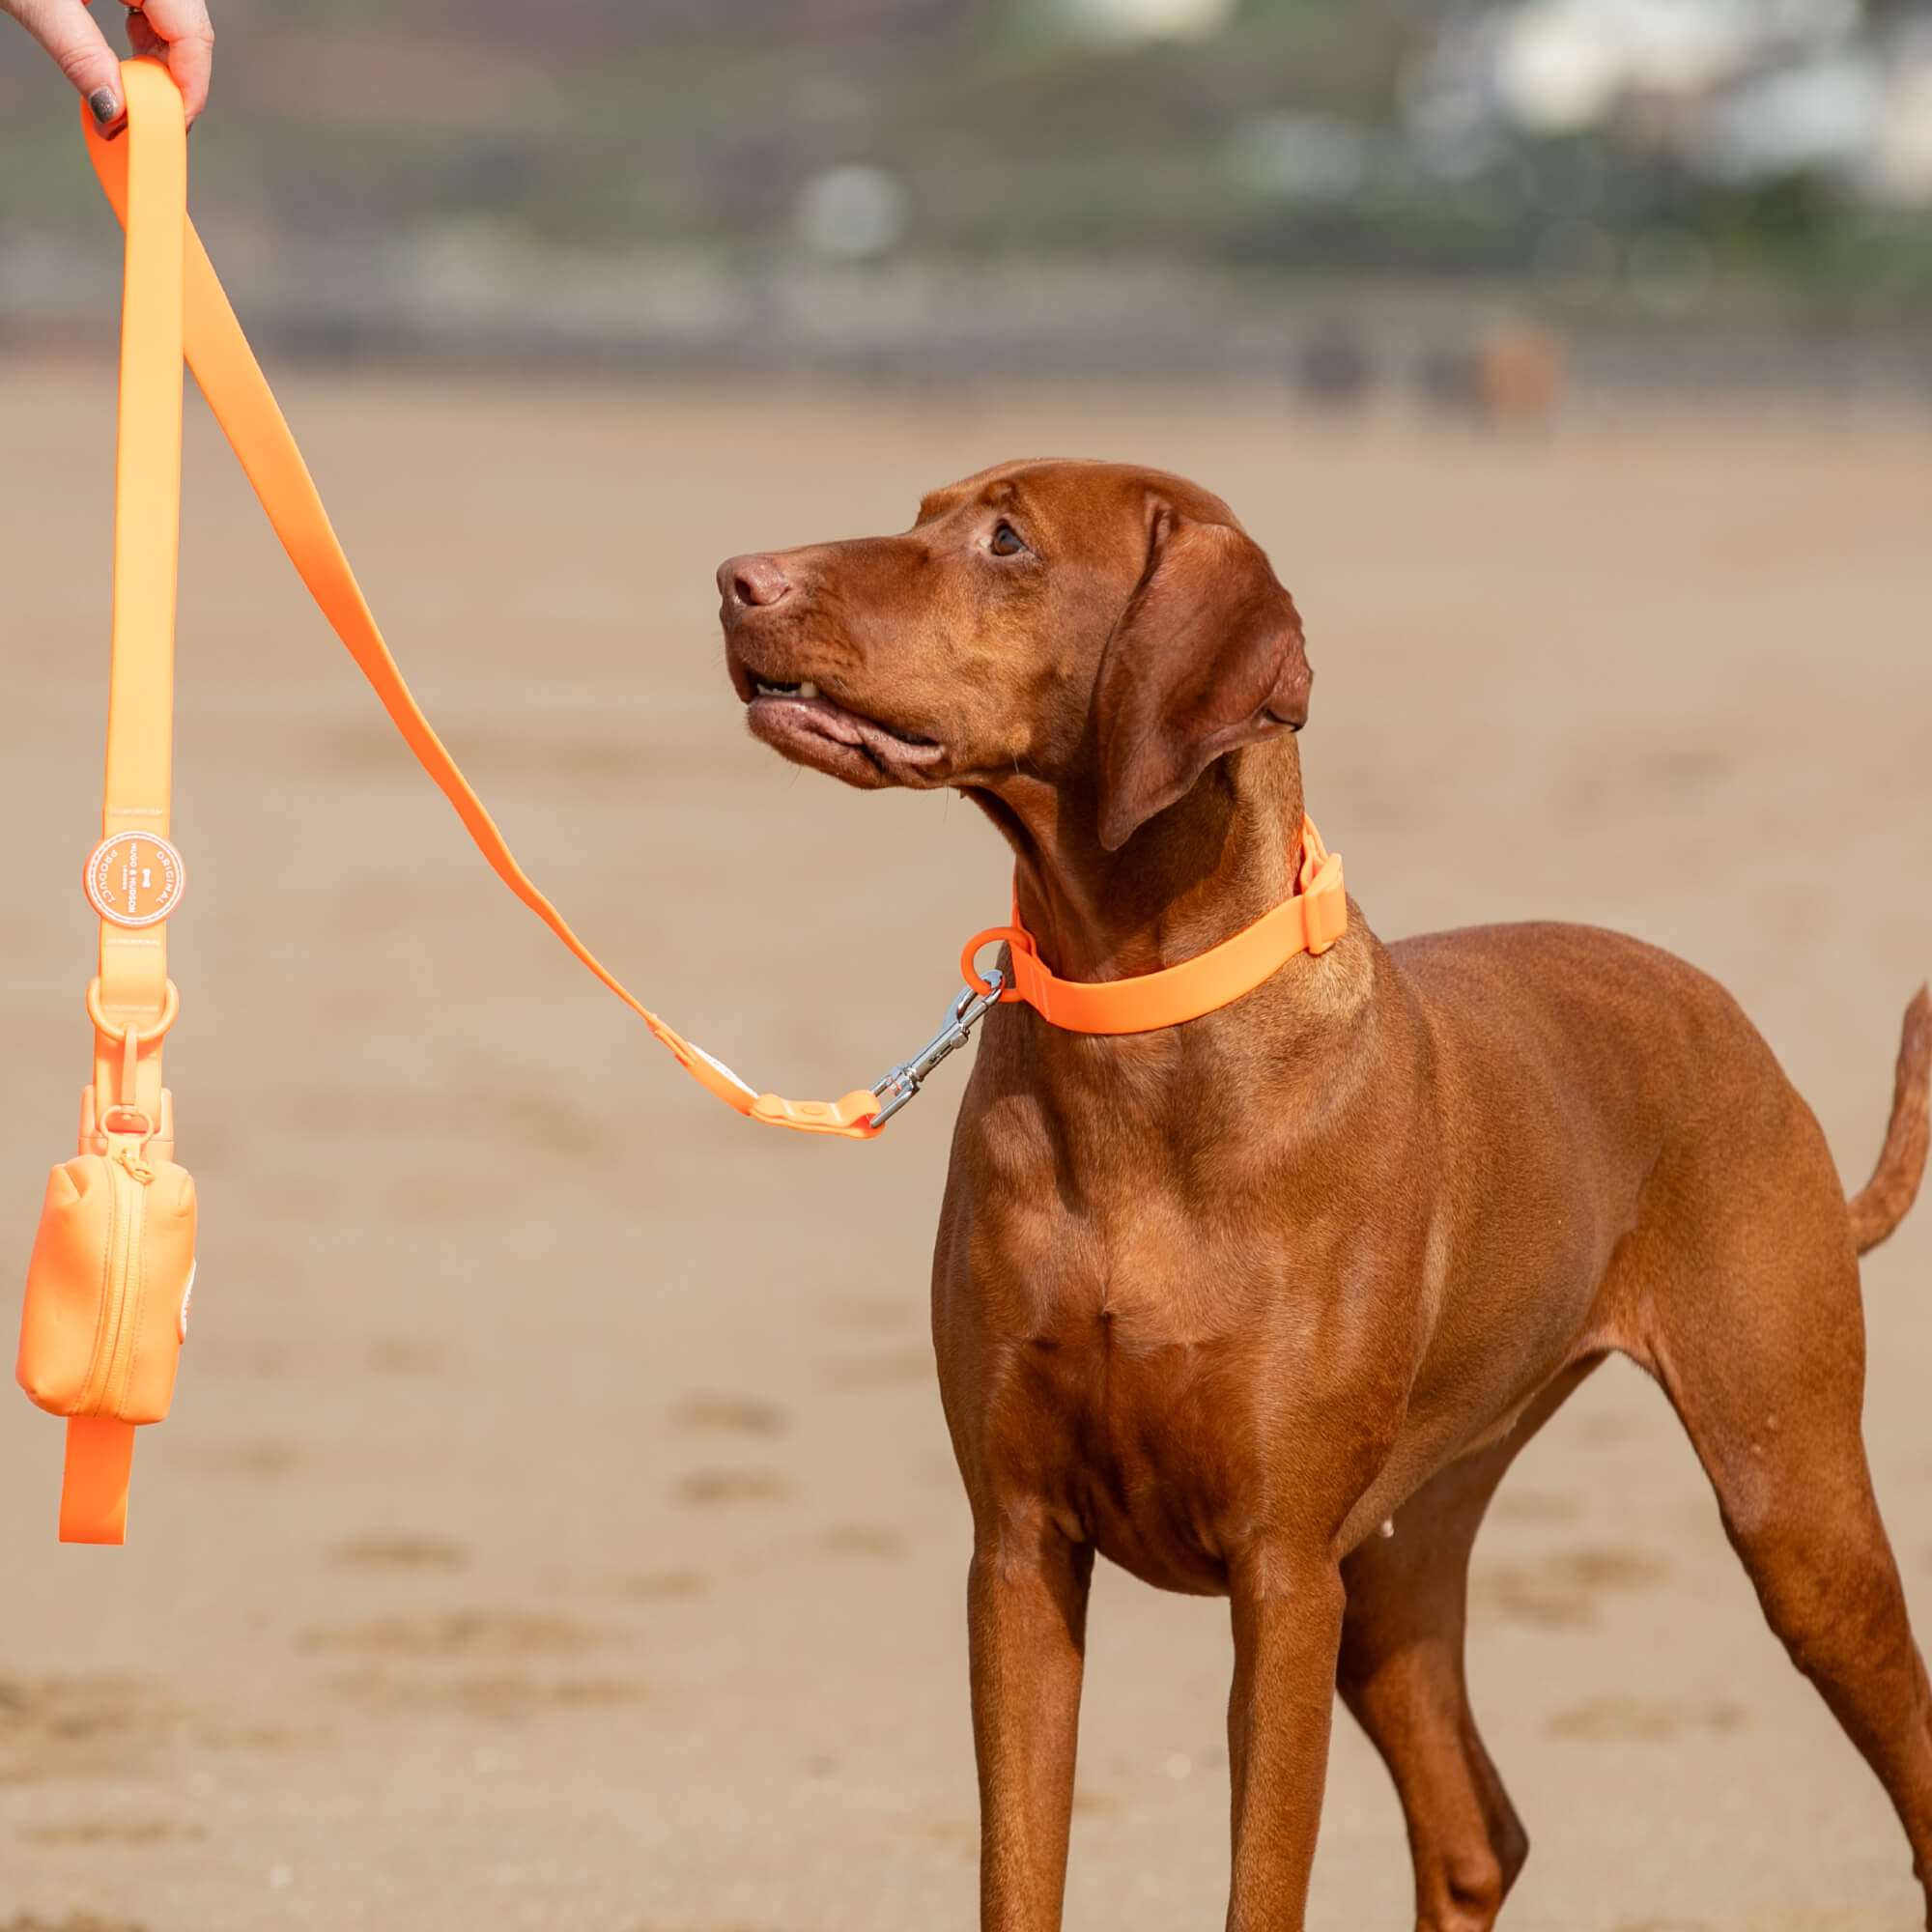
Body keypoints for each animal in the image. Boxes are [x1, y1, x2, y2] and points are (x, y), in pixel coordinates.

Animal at [715, 460, 1932, 1924]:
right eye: (920, 513)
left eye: (1006, 540)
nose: (734, 579)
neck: (1138, 1025)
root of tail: (1738, 1027)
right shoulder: (1016, 1546)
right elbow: (1018, 1871)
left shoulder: (1282, 1573)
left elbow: (1261, 1883)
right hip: (1403, 1548)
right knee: (1474, 1831)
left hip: (1790, 1500)